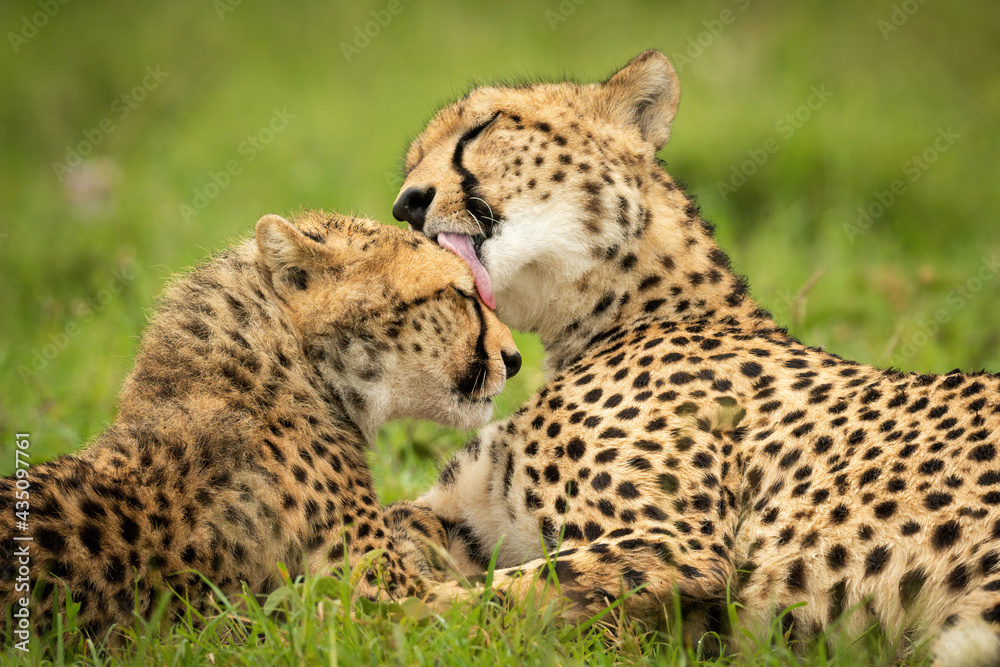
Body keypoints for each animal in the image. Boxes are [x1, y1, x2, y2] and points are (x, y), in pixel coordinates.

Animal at [388, 49, 1000, 664]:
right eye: (411, 164)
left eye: (483, 126)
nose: (407, 205)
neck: (624, 308)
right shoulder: (473, 518)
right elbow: (394, 528)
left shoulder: (678, 548)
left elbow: (477, 598)